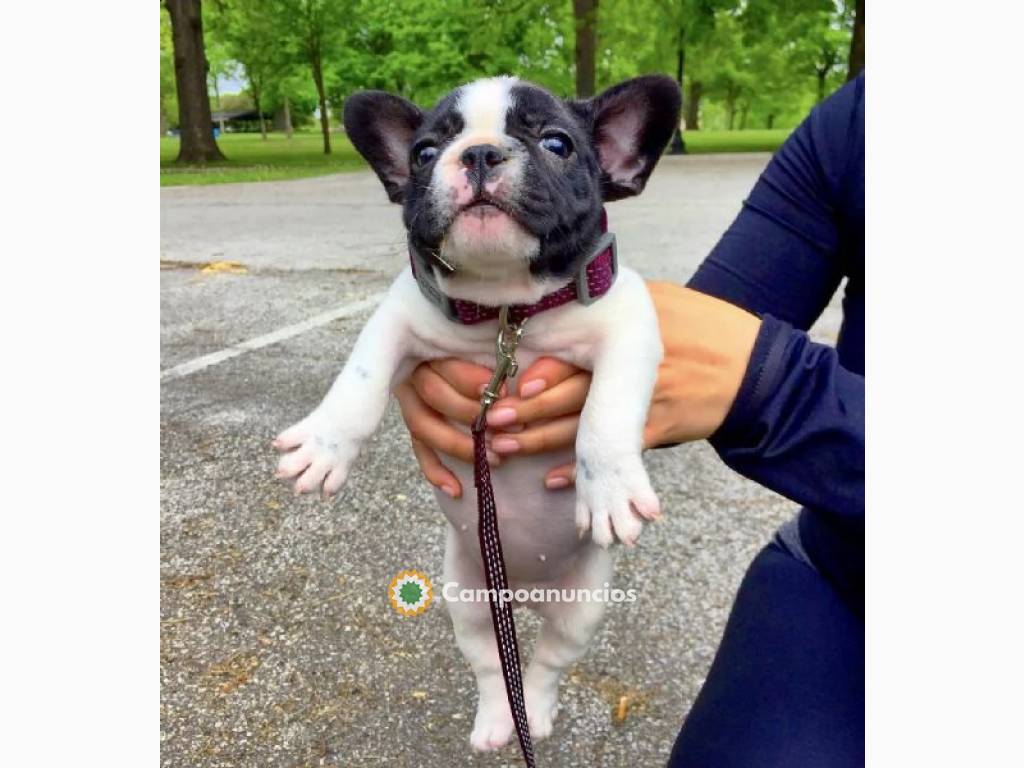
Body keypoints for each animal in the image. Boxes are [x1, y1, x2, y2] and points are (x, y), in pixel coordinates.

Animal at [274, 76, 679, 753]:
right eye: (423, 152)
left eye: (557, 143)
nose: (481, 154)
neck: (506, 311)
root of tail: (525, 591)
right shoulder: (400, 316)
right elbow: (360, 375)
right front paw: (324, 444)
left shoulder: (629, 325)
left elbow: (608, 409)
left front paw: (610, 489)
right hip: (465, 594)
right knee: (493, 663)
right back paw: (495, 721)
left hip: (585, 602)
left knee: (544, 664)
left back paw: (532, 714)